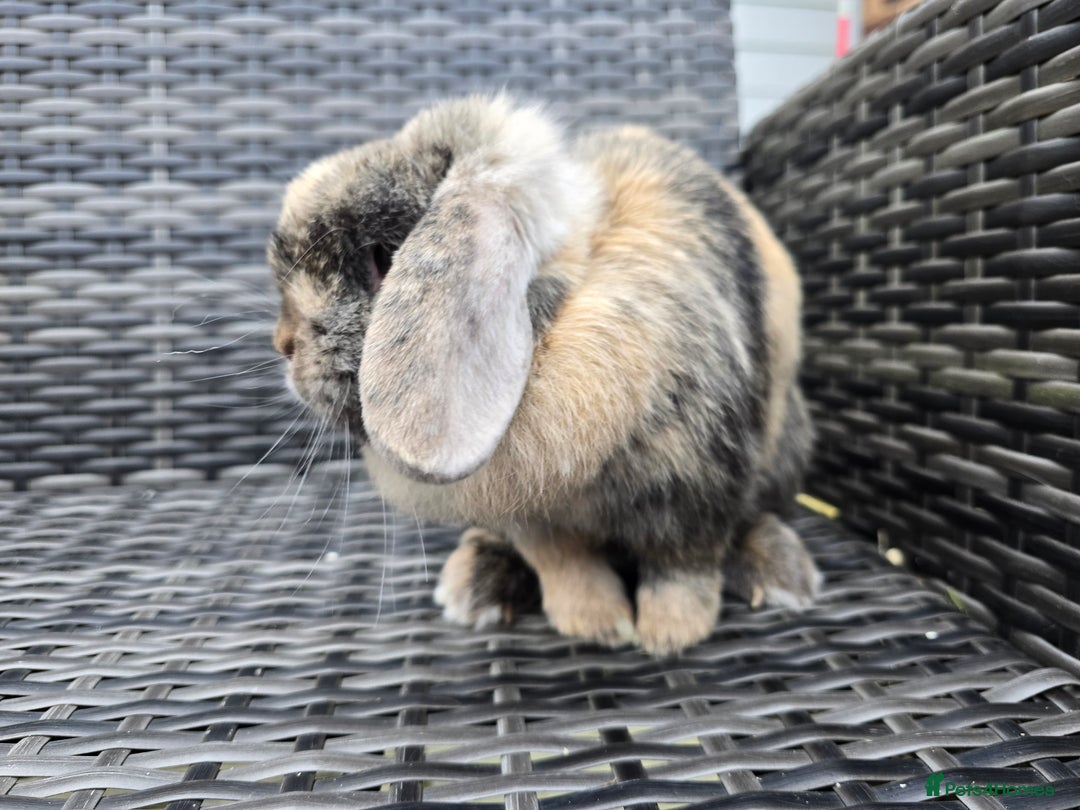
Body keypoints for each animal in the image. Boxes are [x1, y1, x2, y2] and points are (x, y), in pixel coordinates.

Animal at [269, 95, 819, 655]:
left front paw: (668, 636)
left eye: (383, 259)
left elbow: (682, 569)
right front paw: (596, 625)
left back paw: (782, 576)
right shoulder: (533, 518)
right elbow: (565, 565)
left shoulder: (698, 486)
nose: (283, 344)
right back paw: (475, 585)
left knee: (759, 515)